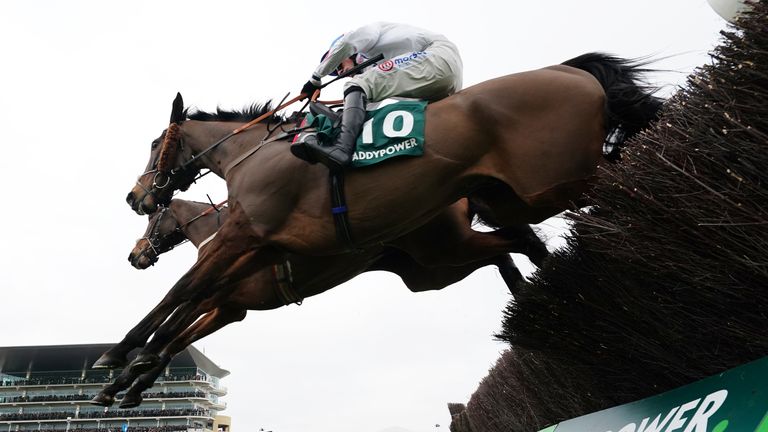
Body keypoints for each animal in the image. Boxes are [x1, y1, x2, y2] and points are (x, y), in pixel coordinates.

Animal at [99, 199, 544, 408]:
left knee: (518, 241)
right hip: (431, 269)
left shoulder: (216, 295)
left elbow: (170, 328)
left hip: (441, 251)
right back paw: (529, 299)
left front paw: (123, 375)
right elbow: (176, 339)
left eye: (151, 220)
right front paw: (132, 387)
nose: (135, 255)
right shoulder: (229, 309)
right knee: (503, 254)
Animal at [112, 52, 660, 380]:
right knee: (518, 245)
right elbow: (190, 306)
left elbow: (182, 292)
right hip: (450, 251)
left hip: (552, 182)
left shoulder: (244, 240)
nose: (136, 199)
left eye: (156, 144)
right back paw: (551, 304)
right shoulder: (253, 265)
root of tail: (570, 70)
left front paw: (125, 358)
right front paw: (139, 371)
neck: (252, 155)